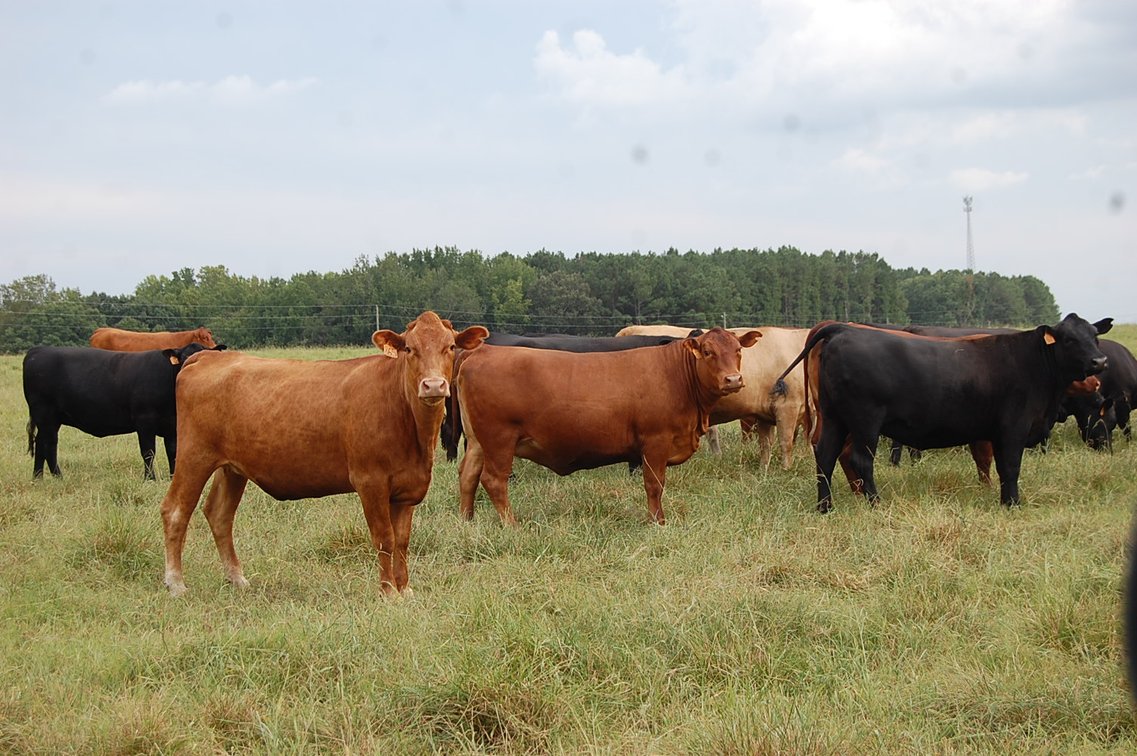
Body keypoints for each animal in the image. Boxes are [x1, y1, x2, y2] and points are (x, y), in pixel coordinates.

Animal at [23, 342, 226, 480]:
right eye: (184, 359)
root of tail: (37, 350)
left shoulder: (172, 425)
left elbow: (173, 452)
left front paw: (172, 478)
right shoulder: (145, 421)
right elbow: (148, 451)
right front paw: (150, 479)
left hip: (49, 418)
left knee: (41, 443)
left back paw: (38, 477)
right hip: (45, 414)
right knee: (49, 443)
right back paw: (57, 477)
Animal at [159, 311, 488, 598]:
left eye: (450, 347)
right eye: (409, 348)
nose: (433, 385)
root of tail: (207, 356)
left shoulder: (407, 489)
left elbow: (403, 541)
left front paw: (404, 589)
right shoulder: (370, 482)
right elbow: (384, 538)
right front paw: (387, 592)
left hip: (232, 469)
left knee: (219, 515)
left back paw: (237, 578)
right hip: (194, 457)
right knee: (175, 511)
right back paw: (175, 583)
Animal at [454, 327, 761, 526]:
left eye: (738, 351)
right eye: (708, 352)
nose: (733, 379)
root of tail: (482, 351)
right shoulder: (655, 441)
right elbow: (654, 484)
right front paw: (657, 522)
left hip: (478, 441)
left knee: (468, 475)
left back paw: (467, 520)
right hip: (499, 439)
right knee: (493, 480)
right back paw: (512, 525)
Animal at [775, 314, 1110, 511]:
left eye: (1094, 336)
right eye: (1069, 339)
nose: (1100, 361)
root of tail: (841, 329)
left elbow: (999, 468)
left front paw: (1005, 500)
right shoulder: (1013, 428)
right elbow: (1010, 467)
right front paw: (1013, 504)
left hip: (835, 418)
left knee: (826, 455)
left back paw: (825, 506)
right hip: (865, 421)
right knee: (859, 459)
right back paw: (875, 502)